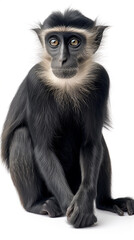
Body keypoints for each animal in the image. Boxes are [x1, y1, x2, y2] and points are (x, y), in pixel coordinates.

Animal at [1, 8, 134, 227]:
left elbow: (92, 143)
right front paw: (70, 207)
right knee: (21, 135)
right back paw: (37, 204)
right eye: (53, 42)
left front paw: (83, 206)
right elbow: (43, 148)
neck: (67, 84)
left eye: (74, 42)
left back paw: (108, 202)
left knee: (99, 141)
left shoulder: (101, 79)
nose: (62, 59)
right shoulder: (35, 82)